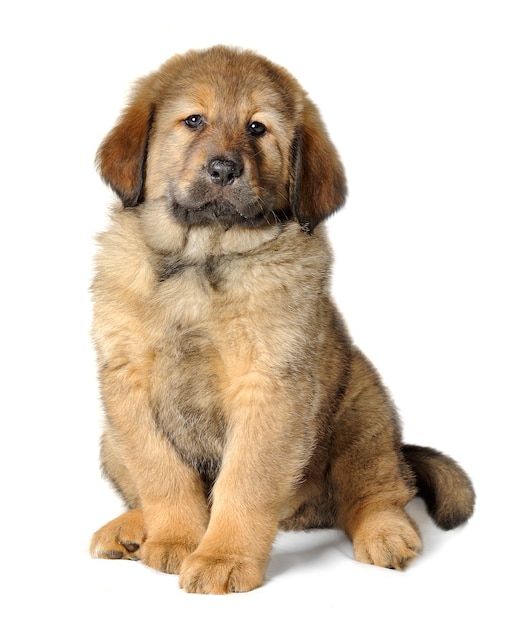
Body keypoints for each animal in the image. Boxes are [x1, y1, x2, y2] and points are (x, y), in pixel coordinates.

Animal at [89, 46, 476, 592]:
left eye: (257, 128)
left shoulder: (269, 385)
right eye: (193, 120)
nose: (223, 169)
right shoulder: (128, 383)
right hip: (109, 438)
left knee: (378, 491)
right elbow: (162, 473)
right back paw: (130, 528)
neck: (202, 260)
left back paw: (386, 534)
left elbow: (245, 482)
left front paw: (222, 557)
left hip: (364, 415)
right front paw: (176, 539)